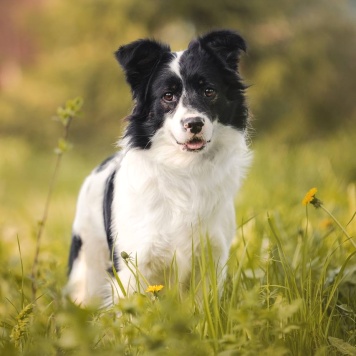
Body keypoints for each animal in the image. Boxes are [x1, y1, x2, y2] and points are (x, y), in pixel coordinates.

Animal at [64, 29, 253, 308]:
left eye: (209, 91)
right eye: (167, 96)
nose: (194, 123)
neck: (185, 171)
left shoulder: (212, 259)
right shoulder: (133, 266)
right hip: (88, 269)